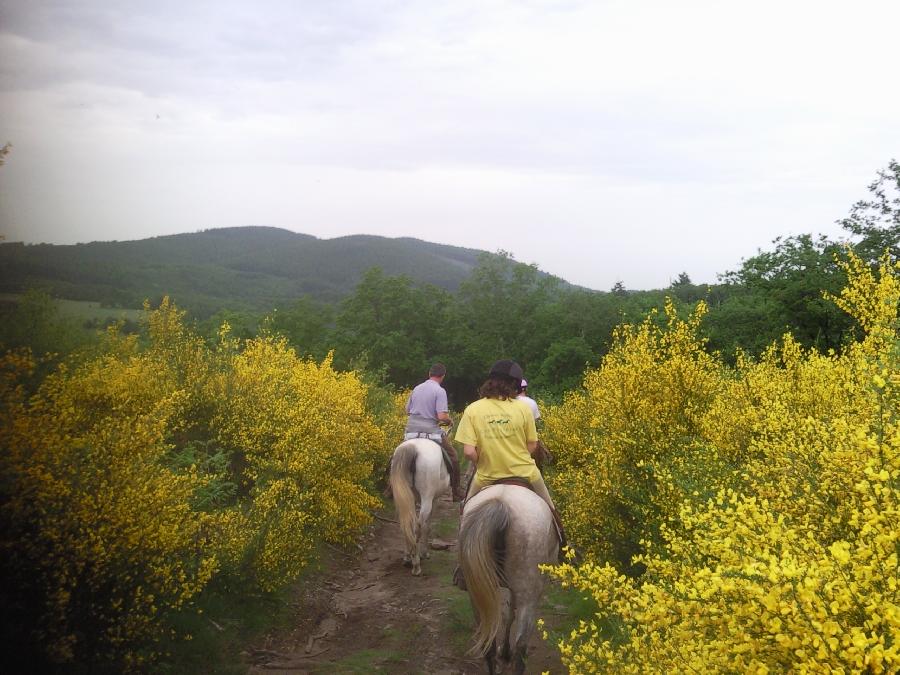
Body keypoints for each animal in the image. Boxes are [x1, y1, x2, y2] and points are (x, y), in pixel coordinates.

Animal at [390, 438, 454, 576]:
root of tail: (412, 447)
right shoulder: (434, 499)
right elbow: (427, 526)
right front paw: (424, 553)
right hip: (427, 497)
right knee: (417, 527)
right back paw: (416, 565)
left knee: (406, 525)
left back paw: (408, 558)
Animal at [460, 486, 560, 675]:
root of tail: (501, 503)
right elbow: (509, 615)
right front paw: (505, 652)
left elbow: (506, 615)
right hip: (528, 594)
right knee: (520, 646)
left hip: (476, 593)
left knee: (488, 641)